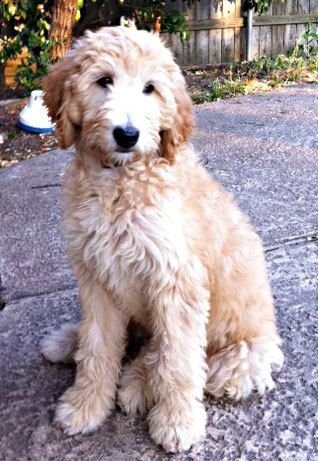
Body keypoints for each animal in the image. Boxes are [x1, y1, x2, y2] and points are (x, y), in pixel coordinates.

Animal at [41, 24, 284, 450]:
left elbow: (178, 362)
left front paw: (177, 422)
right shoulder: (96, 276)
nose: (127, 134)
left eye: (150, 89)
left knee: (176, 359)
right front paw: (86, 406)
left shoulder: (177, 282)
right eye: (104, 81)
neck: (120, 181)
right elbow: (97, 345)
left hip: (239, 357)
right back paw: (69, 342)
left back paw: (138, 383)